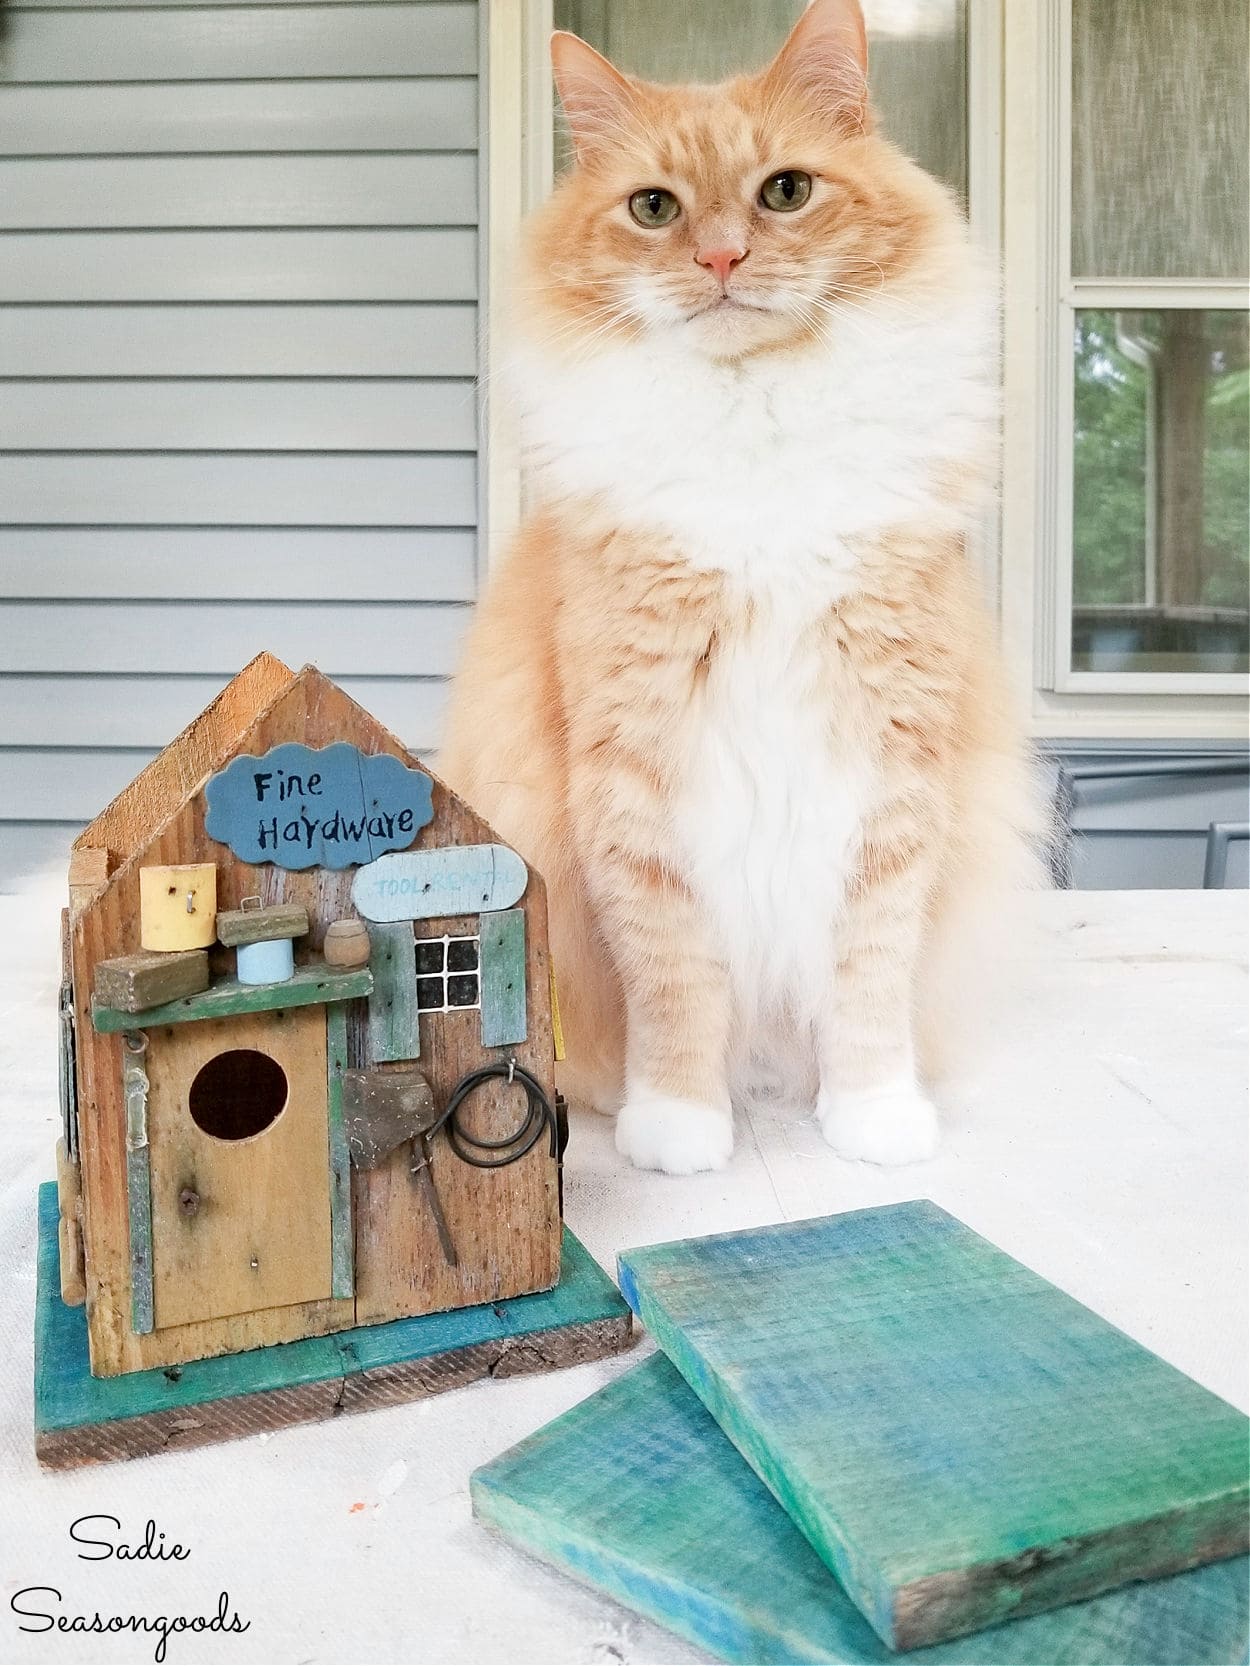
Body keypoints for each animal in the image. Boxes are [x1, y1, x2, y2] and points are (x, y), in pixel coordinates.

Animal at [440, 0, 1040, 1172]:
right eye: (654, 209)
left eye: (785, 192)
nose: (721, 256)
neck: (753, 423)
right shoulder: (636, 768)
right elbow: (675, 978)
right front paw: (678, 1126)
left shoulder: (890, 766)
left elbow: (867, 972)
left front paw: (872, 1118)